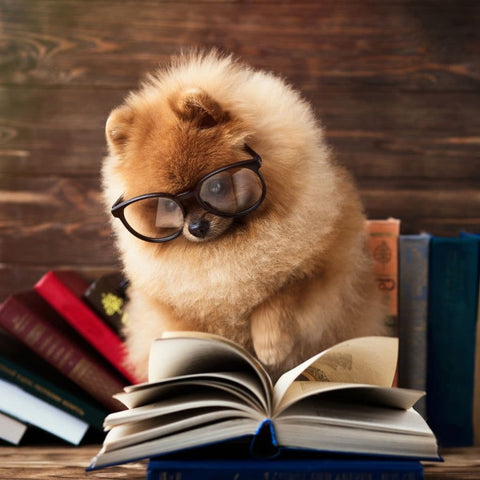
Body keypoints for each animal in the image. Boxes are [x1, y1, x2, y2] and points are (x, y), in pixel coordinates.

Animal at [102, 50, 386, 382]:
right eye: (167, 207)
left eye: (216, 187)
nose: (196, 227)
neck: (230, 249)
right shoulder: (176, 311)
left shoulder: (327, 268)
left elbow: (281, 295)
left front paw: (271, 346)